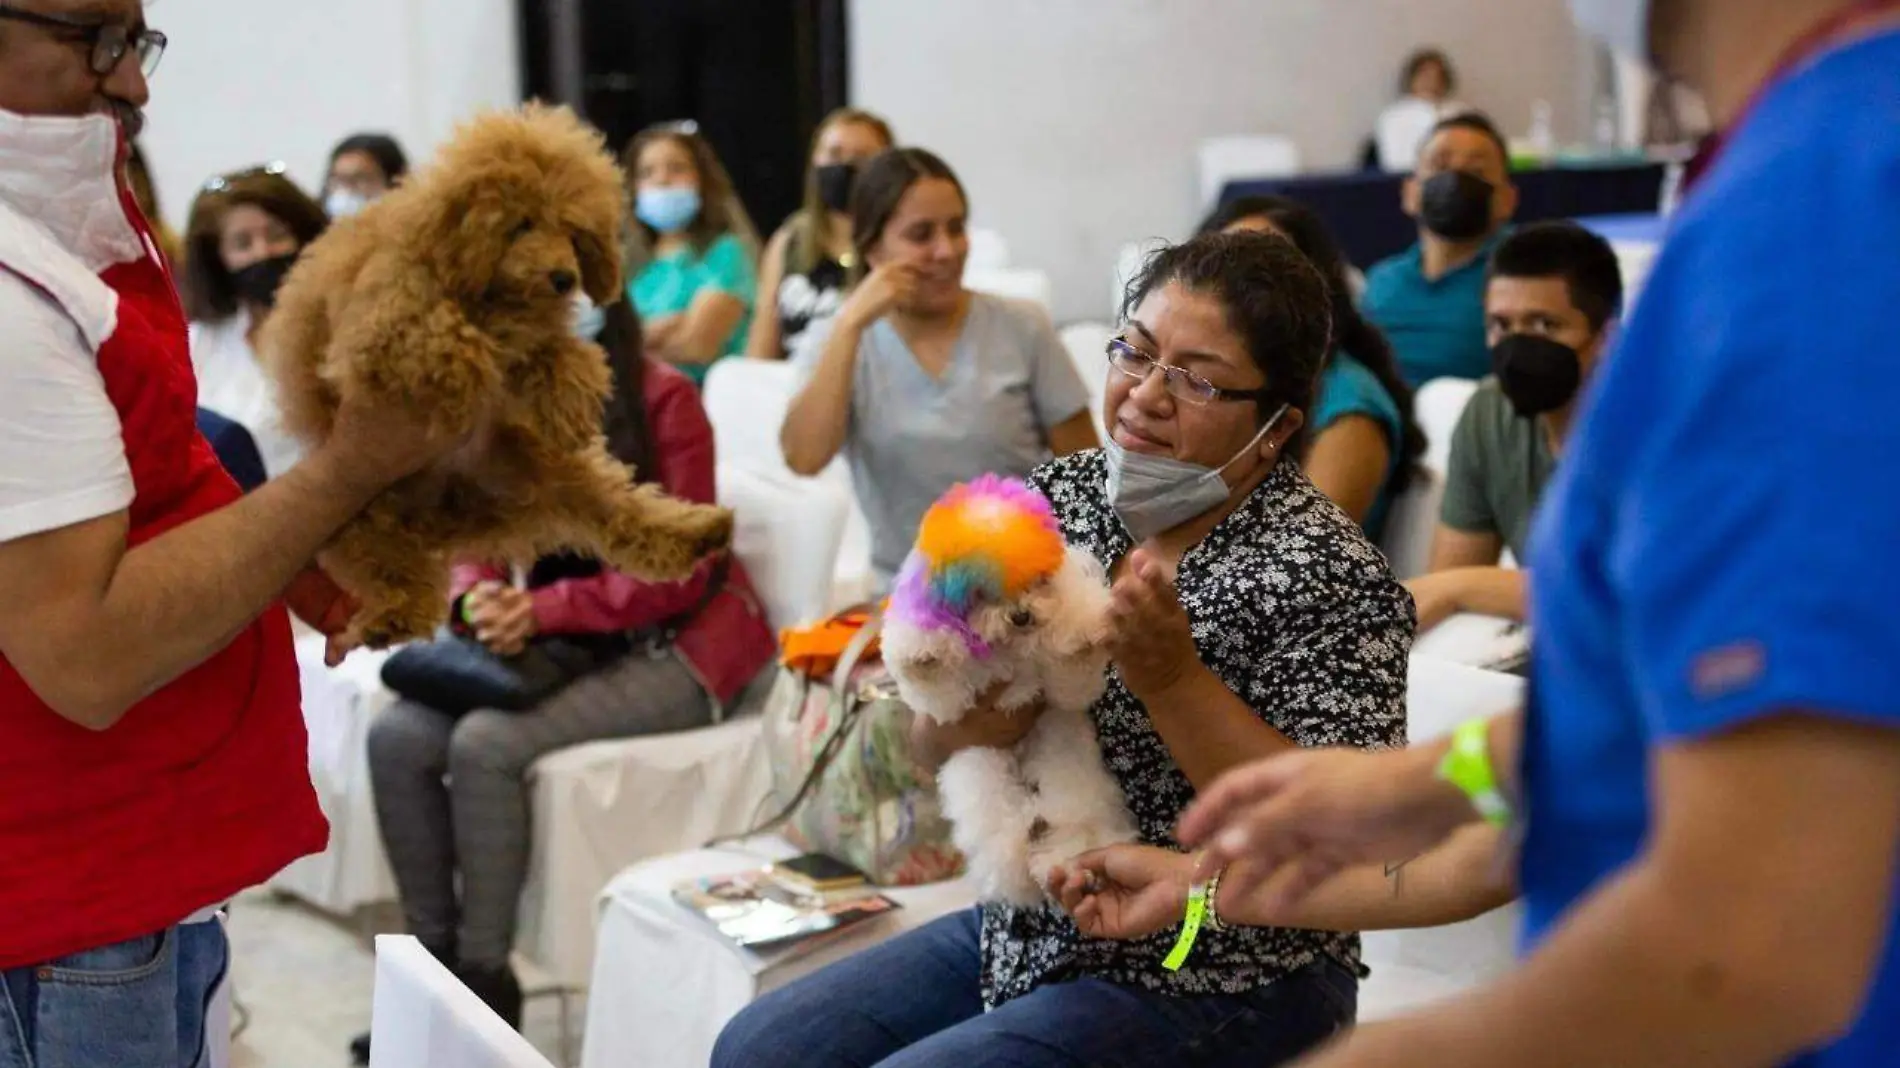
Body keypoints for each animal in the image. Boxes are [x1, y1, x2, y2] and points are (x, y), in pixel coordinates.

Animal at [881, 478, 1132, 900]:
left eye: (1038, 580)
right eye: (982, 591)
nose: (1021, 616)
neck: (1009, 648)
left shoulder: (1062, 686)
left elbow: (1073, 673)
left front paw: (1081, 633)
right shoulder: (952, 702)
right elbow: (938, 685)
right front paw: (923, 652)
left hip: (1065, 772)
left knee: (1069, 827)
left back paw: (1061, 859)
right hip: (983, 770)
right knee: (1005, 837)